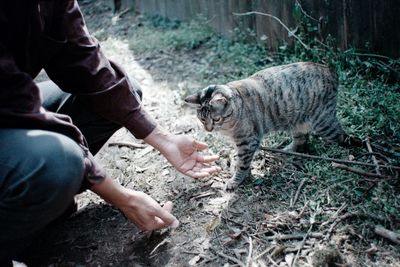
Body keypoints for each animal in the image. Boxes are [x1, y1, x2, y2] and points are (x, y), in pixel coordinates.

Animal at [184, 61, 350, 191]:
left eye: (216, 119)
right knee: (302, 139)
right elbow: (242, 161)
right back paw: (289, 150)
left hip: (324, 123)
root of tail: (329, 69)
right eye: (202, 119)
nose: (208, 129)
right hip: (297, 123)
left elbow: (242, 164)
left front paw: (236, 180)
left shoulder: (248, 142)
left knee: (343, 137)